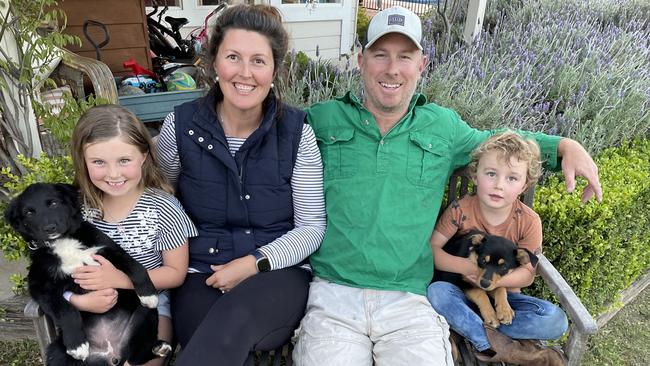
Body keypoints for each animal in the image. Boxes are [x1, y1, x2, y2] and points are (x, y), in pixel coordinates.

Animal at [5, 184, 170, 364]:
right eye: (29, 212)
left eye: (53, 203)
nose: (49, 228)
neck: (63, 242)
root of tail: (111, 355)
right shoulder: (40, 286)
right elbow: (65, 310)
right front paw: (77, 345)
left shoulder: (109, 250)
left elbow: (136, 267)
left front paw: (149, 294)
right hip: (56, 352)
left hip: (144, 314)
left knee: (135, 356)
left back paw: (158, 347)